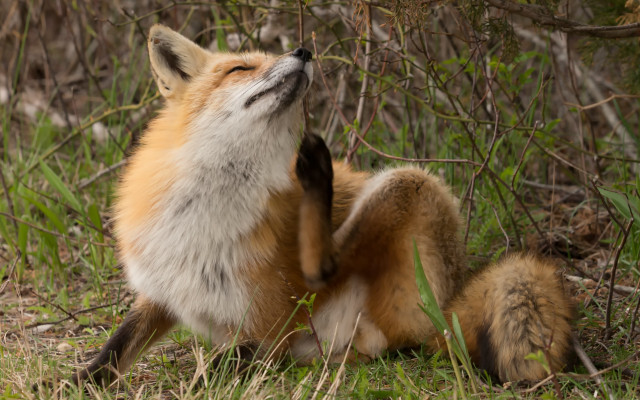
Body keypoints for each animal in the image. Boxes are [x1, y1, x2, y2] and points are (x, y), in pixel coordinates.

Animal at [70, 24, 575, 387]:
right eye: (239, 69)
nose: (302, 51)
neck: (204, 214)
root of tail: (452, 297)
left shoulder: (269, 327)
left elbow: (221, 367)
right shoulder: (162, 290)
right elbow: (114, 349)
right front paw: (79, 381)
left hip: (408, 184)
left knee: (325, 269)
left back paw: (319, 176)